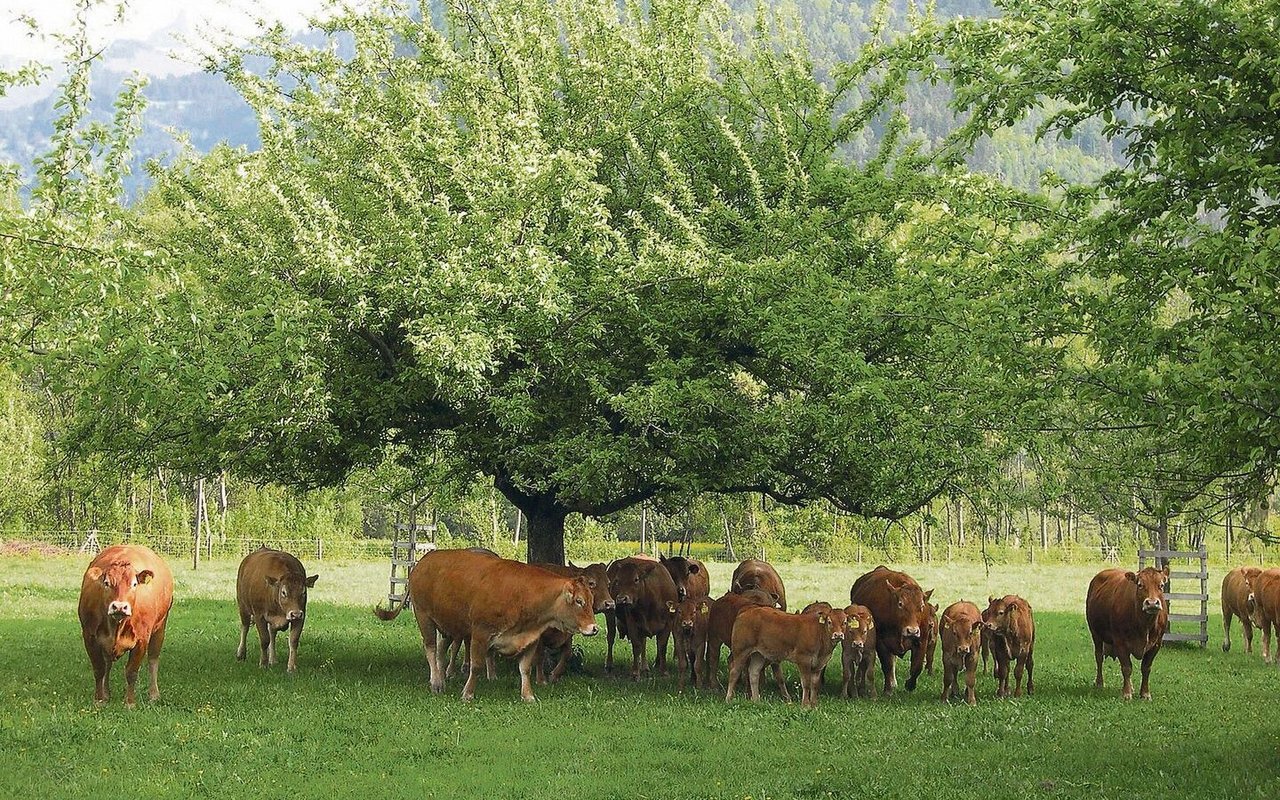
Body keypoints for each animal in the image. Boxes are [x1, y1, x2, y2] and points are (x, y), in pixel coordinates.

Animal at [77, 542, 174, 706]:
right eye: (106, 583)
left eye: (134, 584)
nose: (120, 607)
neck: (116, 625)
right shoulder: (89, 636)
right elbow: (99, 669)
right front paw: (99, 699)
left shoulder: (141, 640)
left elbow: (131, 672)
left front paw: (130, 702)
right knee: (107, 664)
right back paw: (106, 693)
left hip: (160, 628)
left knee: (153, 659)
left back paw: (154, 694)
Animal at [373, 547, 599, 696]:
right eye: (579, 601)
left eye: (590, 600)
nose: (594, 628)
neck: (522, 594)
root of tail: (425, 560)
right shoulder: (480, 633)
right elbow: (476, 665)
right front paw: (468, 693)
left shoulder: (531, 638)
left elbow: (525, 668)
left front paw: (528, 696)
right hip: (424, 617)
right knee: (430, 648)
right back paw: (436, 682)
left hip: (449, 625)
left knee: (441, 649)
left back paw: (443, 678)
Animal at [855, 560, 936, 691]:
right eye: (900, 604)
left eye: (922, 606)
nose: (912, 631)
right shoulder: (882, 643)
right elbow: (887, 665)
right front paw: (888, 689)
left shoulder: (921, 641)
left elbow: (917, 667)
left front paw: (910, 684)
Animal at [1085, 560, 1167, 696]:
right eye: (1140, 585)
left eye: (1161, 585)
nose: (1151, 603)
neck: (1144, 625)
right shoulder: (1120, 641)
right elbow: (1126, 667)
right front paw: (1127, 693)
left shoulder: (1156, 644)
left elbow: (1146, 668)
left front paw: (1145, 693)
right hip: (1095, 633)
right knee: (1099, 657)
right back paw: (1099, 682)